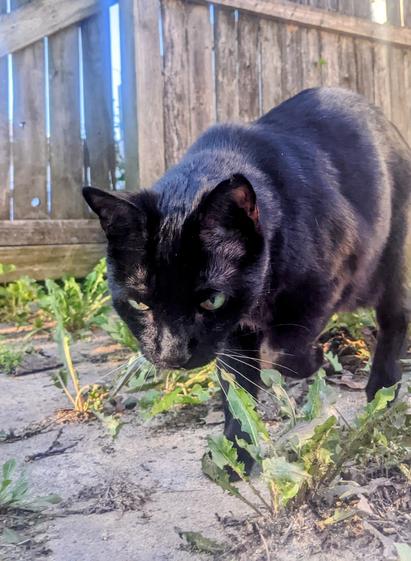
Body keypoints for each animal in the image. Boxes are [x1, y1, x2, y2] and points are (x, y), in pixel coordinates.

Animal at [83, 88, 408, 472]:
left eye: (212, 300)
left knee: (395, 319)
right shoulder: (232, 333)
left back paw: (383, 389)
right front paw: (237, 450)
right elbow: (237, 387)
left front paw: (314, 359)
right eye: (139, 302)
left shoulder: (328, 283)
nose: (172, 354)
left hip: (393, 260)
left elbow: (286, 352)